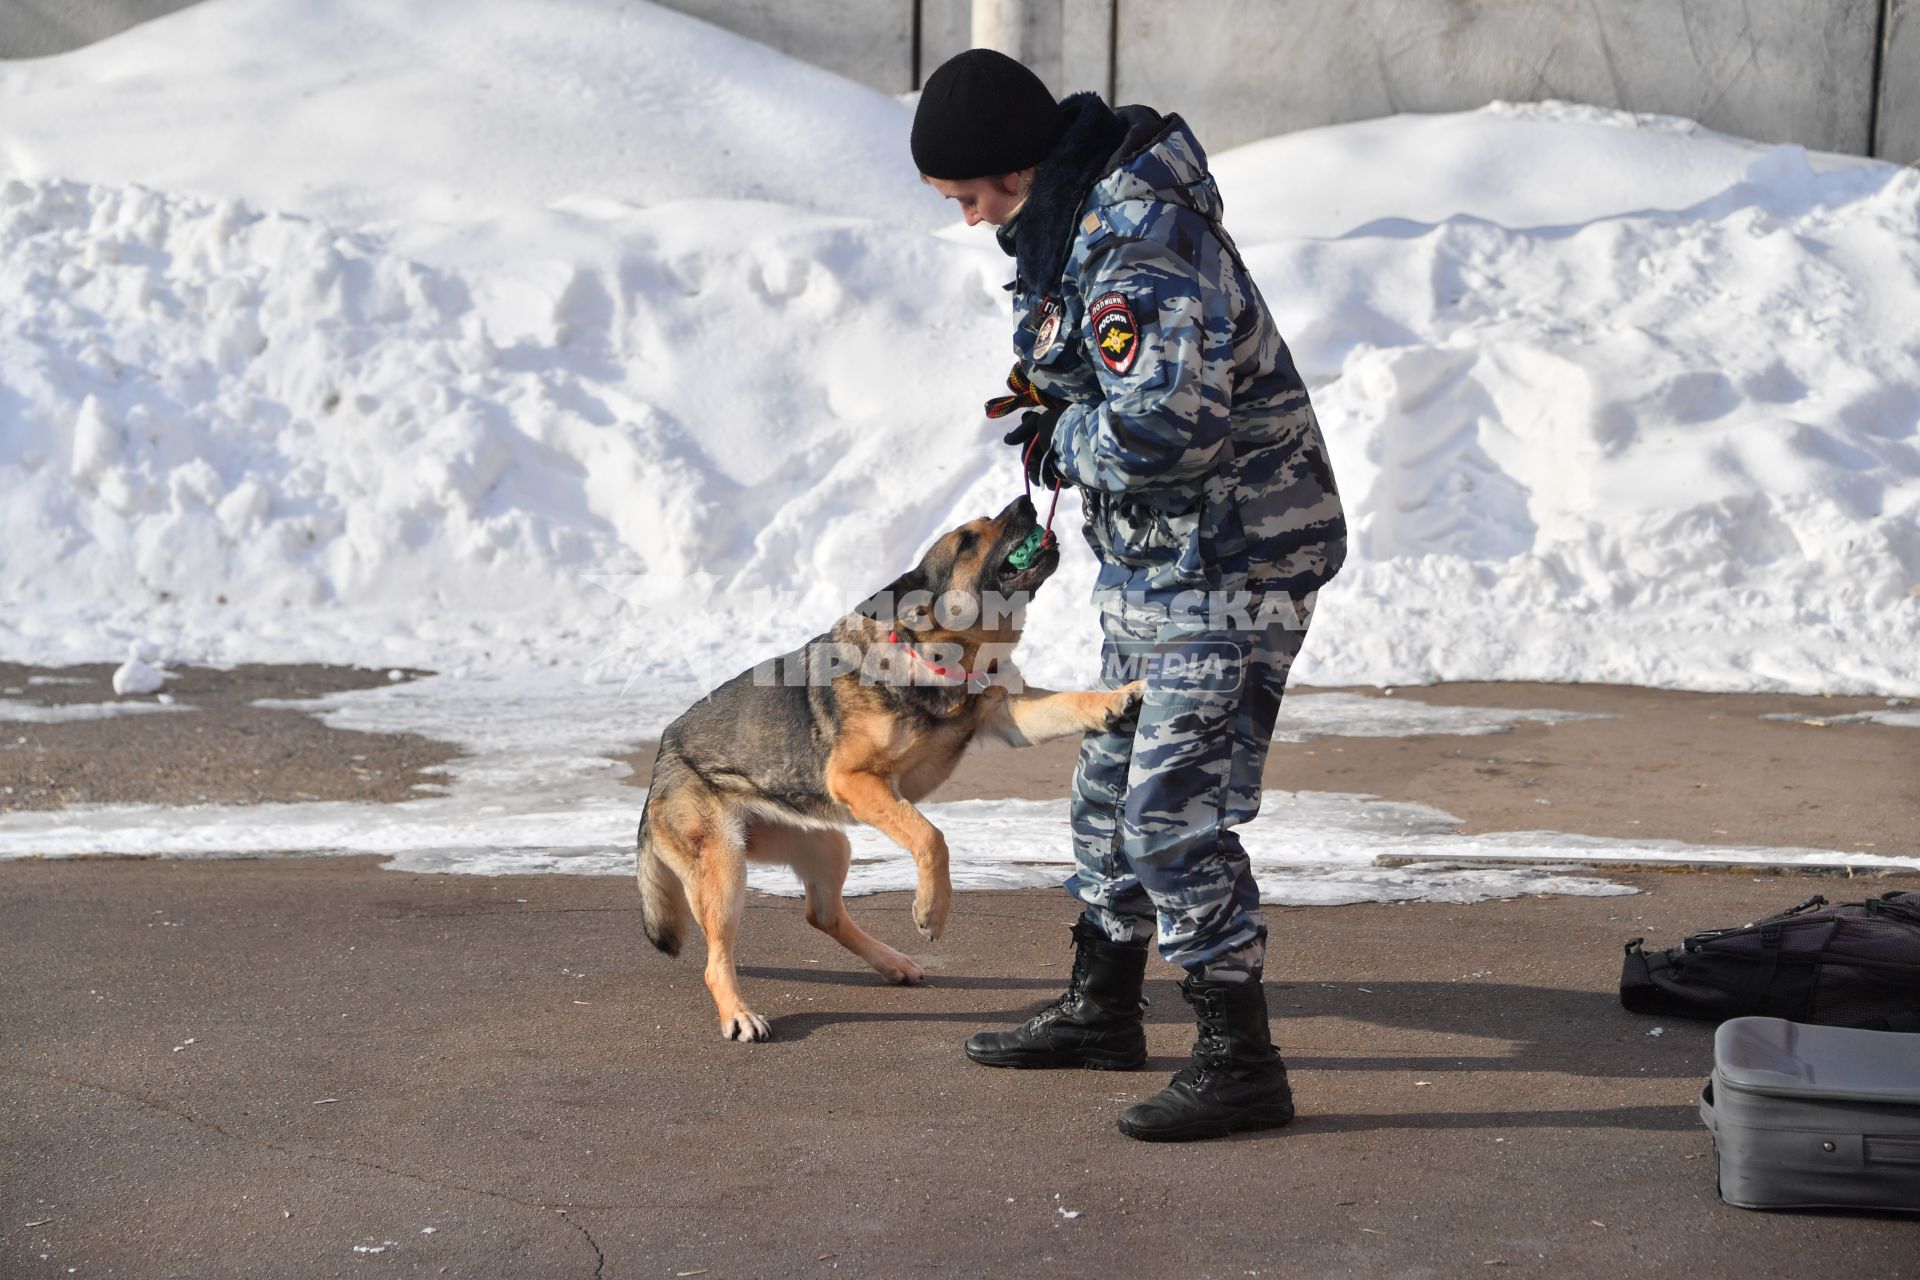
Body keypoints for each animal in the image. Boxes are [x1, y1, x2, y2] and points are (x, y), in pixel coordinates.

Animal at [641, 495, 1136, 1043]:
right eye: (967, 540)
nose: (1028, 500)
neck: (928, 651)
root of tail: (662, 756)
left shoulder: (1010, 714)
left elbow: (1070, 703)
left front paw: (1119, 697)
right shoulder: (857, 781)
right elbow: (931, 837)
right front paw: (931, 911)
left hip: (829, 845)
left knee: (823, 914)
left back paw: (892, 962)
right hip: (726, 870)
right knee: (717, 960)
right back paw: (738, 1013)